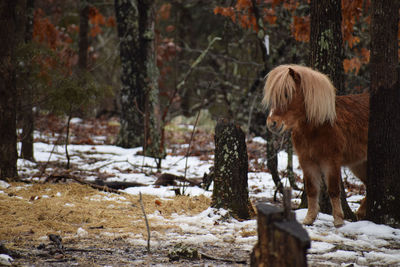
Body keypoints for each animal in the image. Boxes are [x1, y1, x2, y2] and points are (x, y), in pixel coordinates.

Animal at [262, 63, 368, 227]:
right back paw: (361, 213)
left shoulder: (331, 162)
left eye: (286, 94)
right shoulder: (307, 162)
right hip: (358, 165)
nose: (272, 123)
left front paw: (338, 220)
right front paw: (309, 218)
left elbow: (333, 190)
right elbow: (312, 190)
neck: (319, 126)